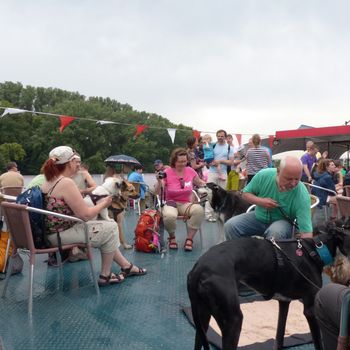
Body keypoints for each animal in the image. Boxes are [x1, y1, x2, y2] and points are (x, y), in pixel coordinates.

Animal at [187, 221, 350, 350]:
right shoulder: (310, 309)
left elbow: (279, 339)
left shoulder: (284, 302)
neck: (316, 250)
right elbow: (318, 344)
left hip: (202, 318)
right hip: (233, 320)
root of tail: (198, 269)